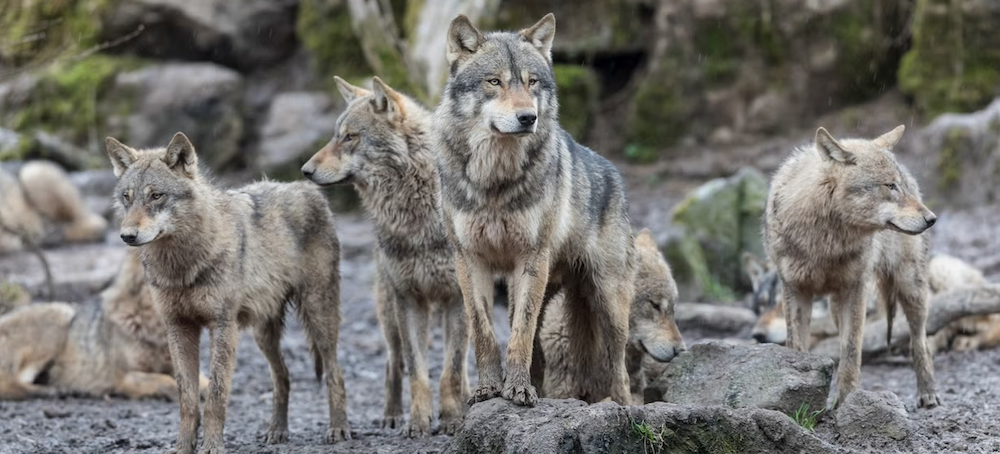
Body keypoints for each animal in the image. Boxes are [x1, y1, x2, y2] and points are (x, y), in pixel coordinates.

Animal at [0, 248, 208, 401]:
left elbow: (204, 381)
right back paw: (50, 391)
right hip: (60, 316)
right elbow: (164, 380)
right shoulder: (124, 378)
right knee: (7, 383)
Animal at [105, 132, 349, 454]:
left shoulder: (222, 326)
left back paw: (339, 429)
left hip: (319, 316)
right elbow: (187, 398)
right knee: (283, 377)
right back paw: (276, 431)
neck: (182, 266)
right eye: (127, 197)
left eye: (156, 196)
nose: (127, 236)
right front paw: (183, 447)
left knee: (335, 372)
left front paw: (211, 446)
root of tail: (307, 188)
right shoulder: (178, 327)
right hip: (263, 334)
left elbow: (216, 396)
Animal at [301, 76, 469, 437]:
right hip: (389, 310)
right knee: (394, 362)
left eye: (350, 136)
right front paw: (418, 422)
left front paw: (452, 418)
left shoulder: (458, 298)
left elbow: (451, 369)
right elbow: (417, 372)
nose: (305, 170)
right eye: (336, 135)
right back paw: (392, 416)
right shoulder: (408, 298)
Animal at [435, 13, 637, 407]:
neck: (495, 181)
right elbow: (484, 331)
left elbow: (520, 333)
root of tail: (615, 173)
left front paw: (517, 390)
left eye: (532, 82)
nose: (528, 117)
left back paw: (622, 406)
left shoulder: (529, 257)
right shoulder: (469, 259)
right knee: (543, 352)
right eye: (494, 82)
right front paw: (488, 389)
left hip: (607, 301)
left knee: (618, 366)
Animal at [764, 125, 940, 408]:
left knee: (920, 340)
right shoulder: (794, 289)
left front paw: (847, 402)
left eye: (900, 186)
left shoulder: (856, 289)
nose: (932, 218)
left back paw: (928, 392)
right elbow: (797, 346)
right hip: (836, 307)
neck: (825, 243)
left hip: (911, 288)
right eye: (890, 186)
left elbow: (851, 352)